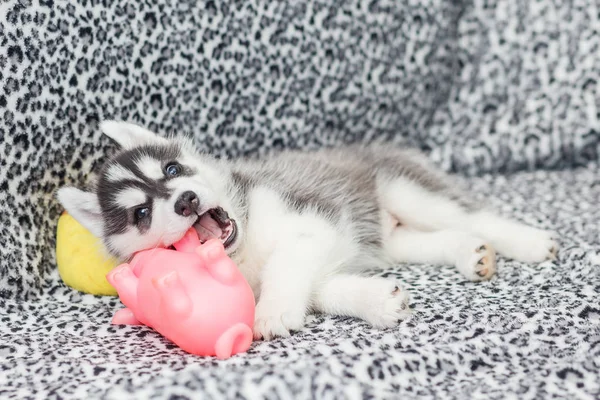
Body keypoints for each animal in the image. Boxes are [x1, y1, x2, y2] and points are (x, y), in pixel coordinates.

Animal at [57, 121, 556, 338]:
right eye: (141, 213)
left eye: (172, 168)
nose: (186, 201)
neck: (243, 245)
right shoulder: (321, 250)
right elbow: (321, 290)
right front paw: (376, 301)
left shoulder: (310, 224)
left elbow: (287, 266)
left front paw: (274, 312)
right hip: (393, 236)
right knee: (436, 238)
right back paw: (471, 253)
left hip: (405, 191)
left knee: (473, 217)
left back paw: (531, 241)